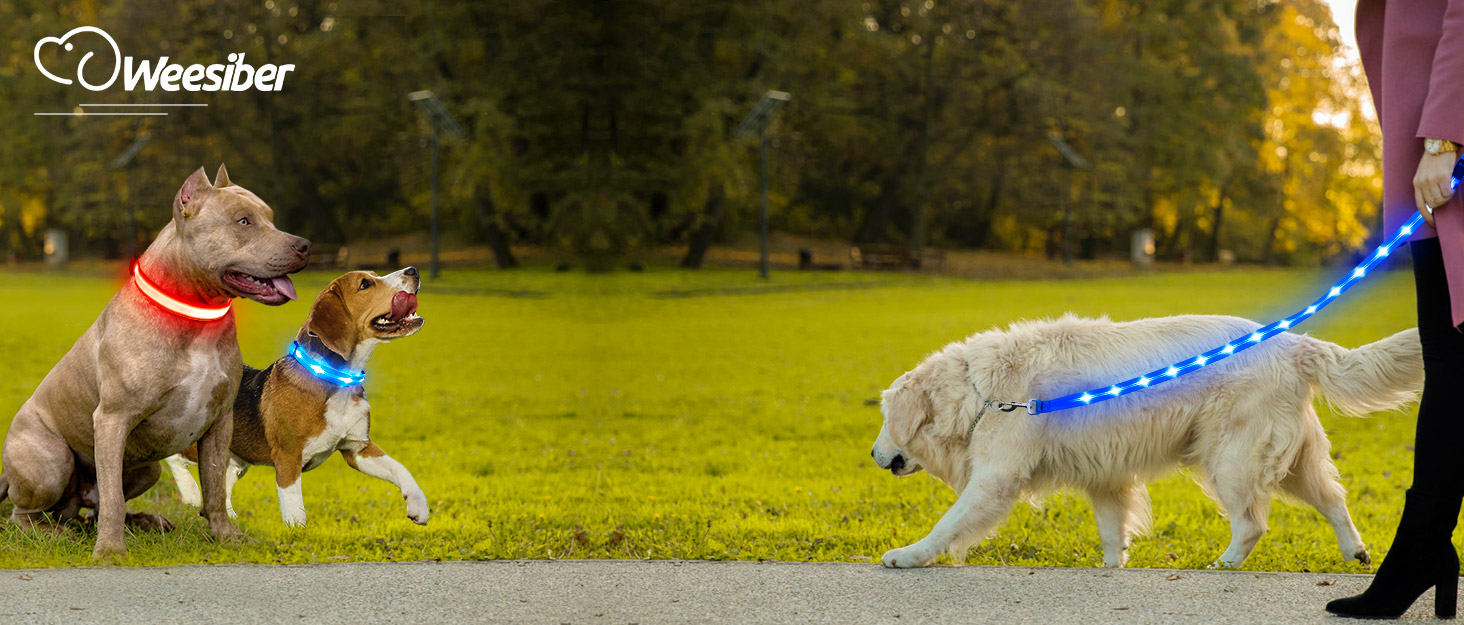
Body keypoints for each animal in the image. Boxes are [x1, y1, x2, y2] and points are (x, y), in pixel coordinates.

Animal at [0, 163, 308, 559]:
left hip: (149, 469)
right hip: (52, 463)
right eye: (243, 221)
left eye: (270, 218)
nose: (304, 246)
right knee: (31, 514)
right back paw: (56, 534)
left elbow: (214, 488)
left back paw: (143, 522)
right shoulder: (113, 419)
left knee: (90, 510)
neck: (195, 316)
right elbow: (113, 498)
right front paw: (110, 551)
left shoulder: (220, 422)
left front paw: (225, 536)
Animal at [167, 266, 427, 526]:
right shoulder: (288, 458)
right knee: (174, 458)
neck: (334, 381)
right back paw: (191, 493)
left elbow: (401, 469)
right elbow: (295, 510)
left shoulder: (358, 448)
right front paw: (297, 531)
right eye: (365, 284)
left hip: (235, 457)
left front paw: (419, 506)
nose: (413, 270)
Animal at [866, 316, 1417, 570]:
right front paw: (1112, 568)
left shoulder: (995, 480)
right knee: (1334, 500)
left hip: (1232, 461)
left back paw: (1222, 564)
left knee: (1252, 523)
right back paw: (1357, 552)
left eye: (885, 418)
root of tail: (1292, 342)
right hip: (1294, 461)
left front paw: (908, 555)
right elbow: (1113, 532)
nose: (872, 455)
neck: (983, 392)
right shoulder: (1106, 478)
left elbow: (948, 524)